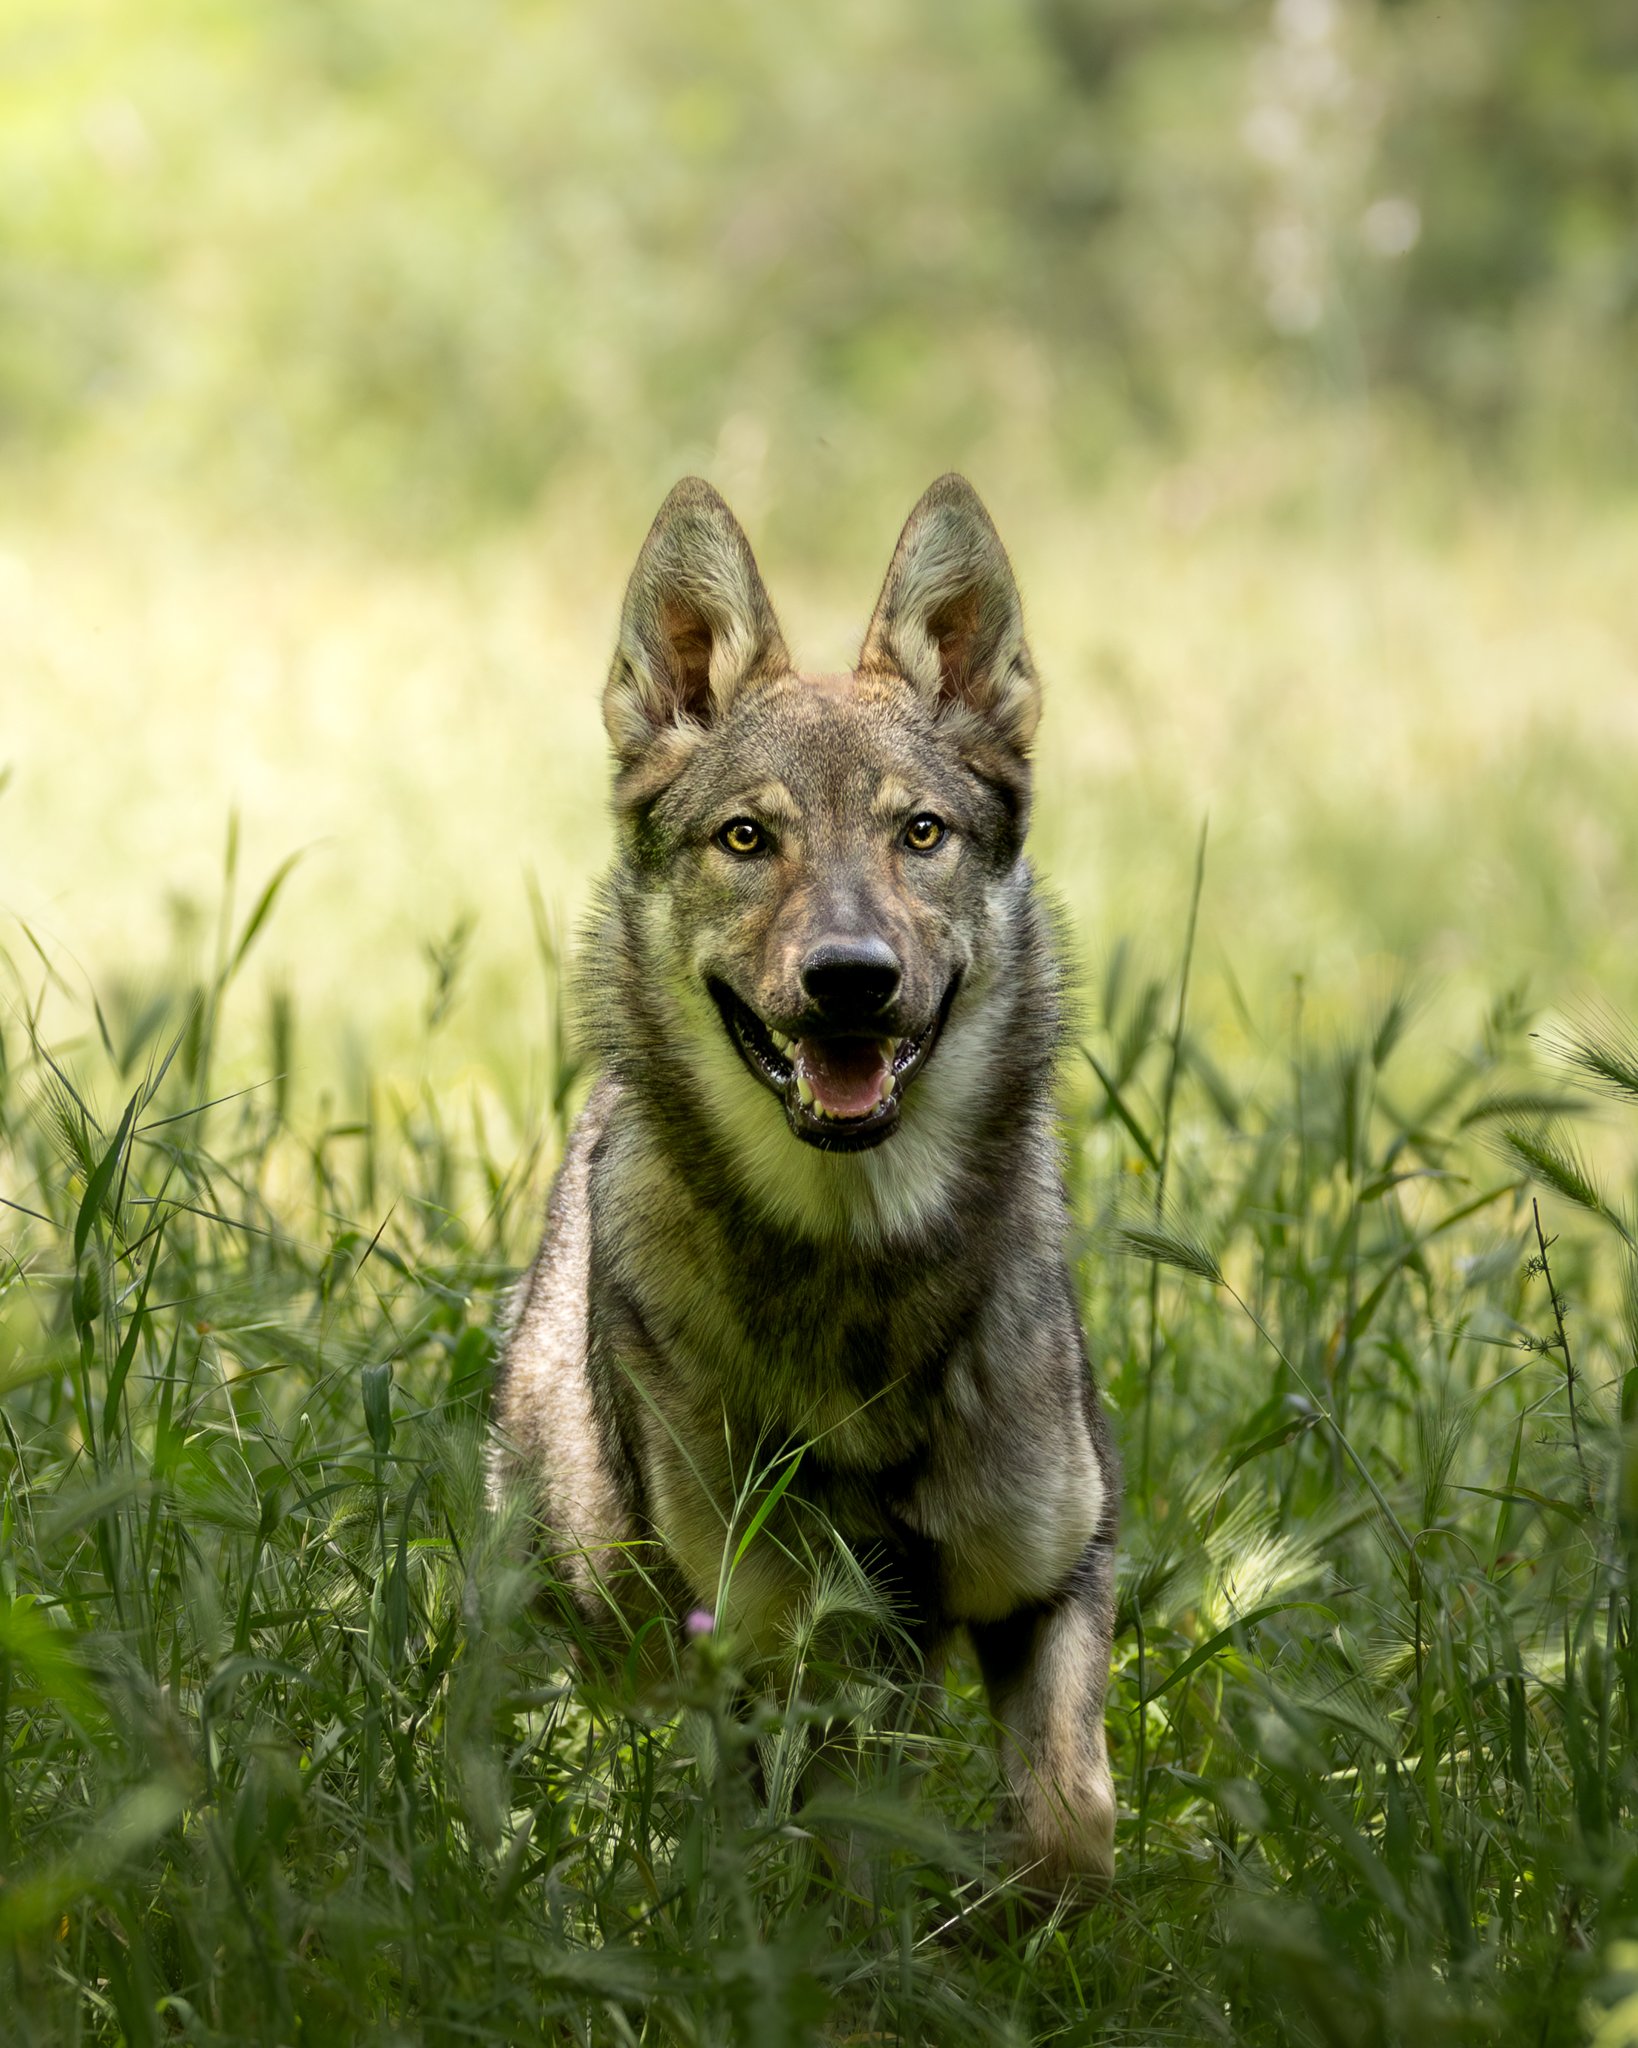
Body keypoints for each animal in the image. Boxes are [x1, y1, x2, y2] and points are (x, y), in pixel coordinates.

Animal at [490, 473, 1119, 1883]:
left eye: (920, 833)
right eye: (747, 837)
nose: (850, 979)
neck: (864, 1272)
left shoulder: (1053, 1577)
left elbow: (1070, 1823)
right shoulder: (786, 1653)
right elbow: (829, 1867)